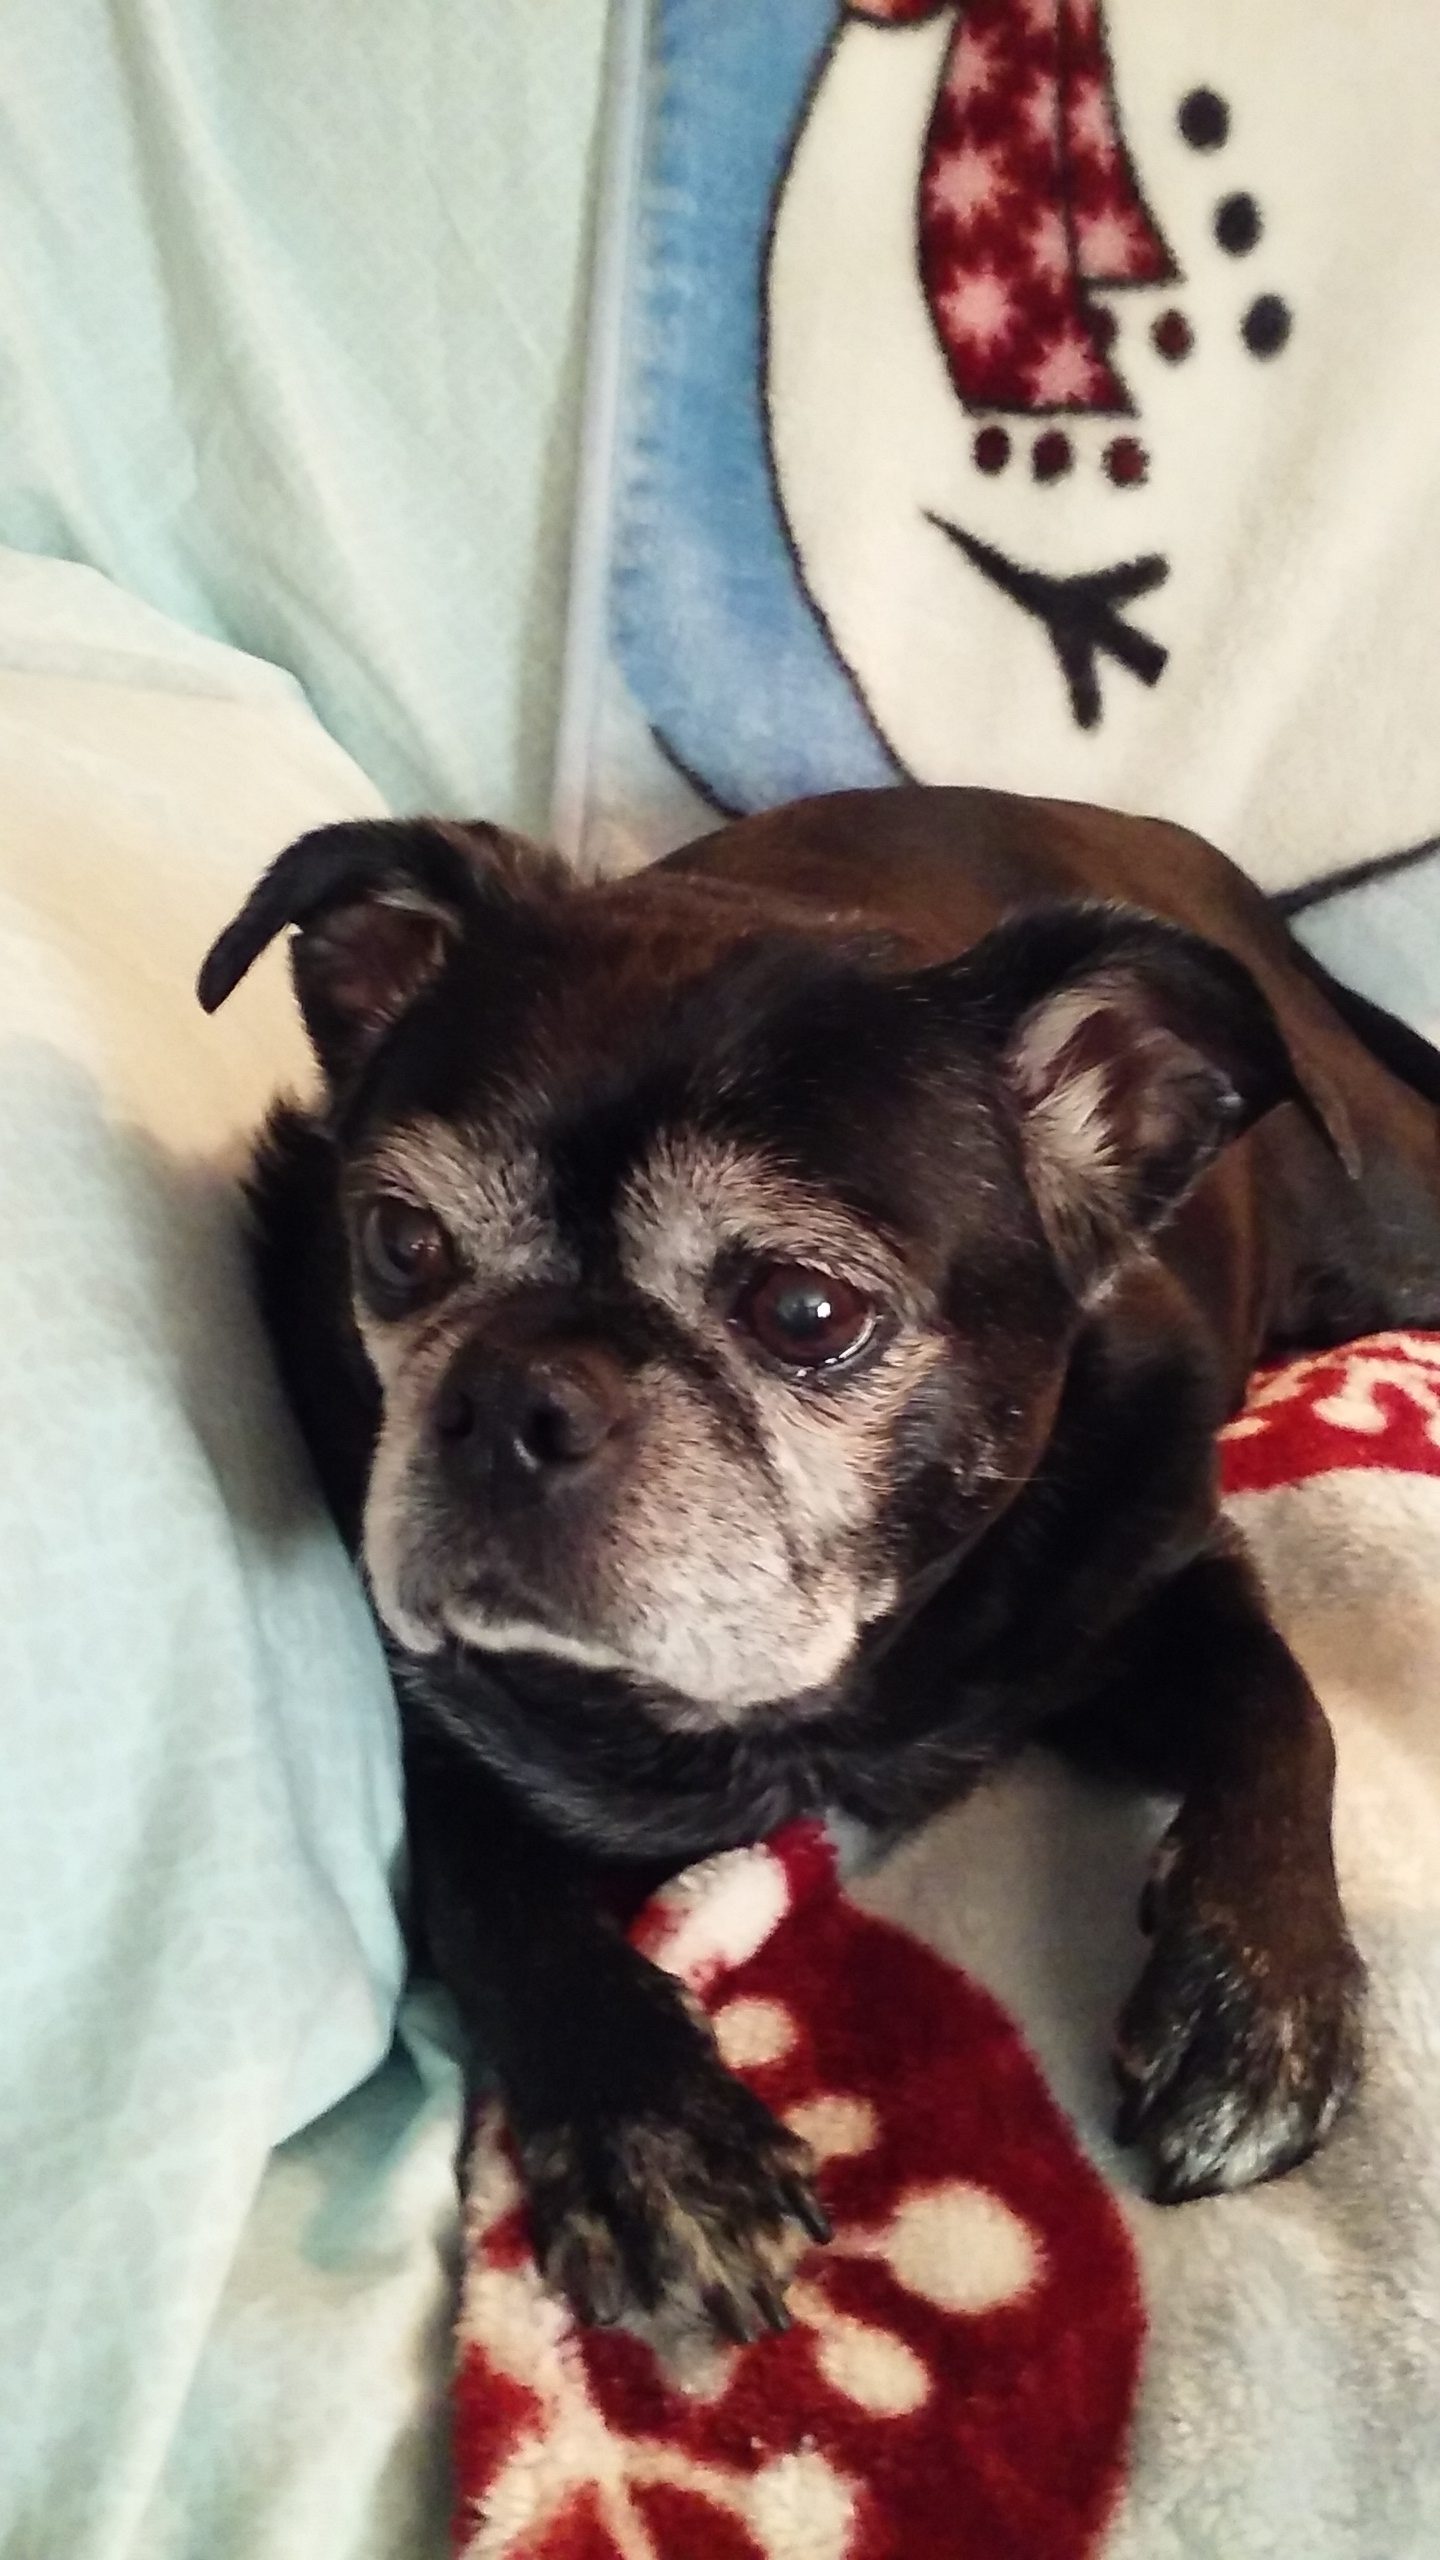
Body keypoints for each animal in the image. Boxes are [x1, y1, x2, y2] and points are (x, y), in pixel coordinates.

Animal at [200, 784, 1440, 2343]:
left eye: (805, 1310)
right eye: (400, 1241)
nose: (513, 1396)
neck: (799, 1699)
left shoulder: (1160, 1579)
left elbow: (1284, 1711)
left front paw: (1261, 1992)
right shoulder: (440, 1739)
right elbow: (495, 1898)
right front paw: (650, 2129)